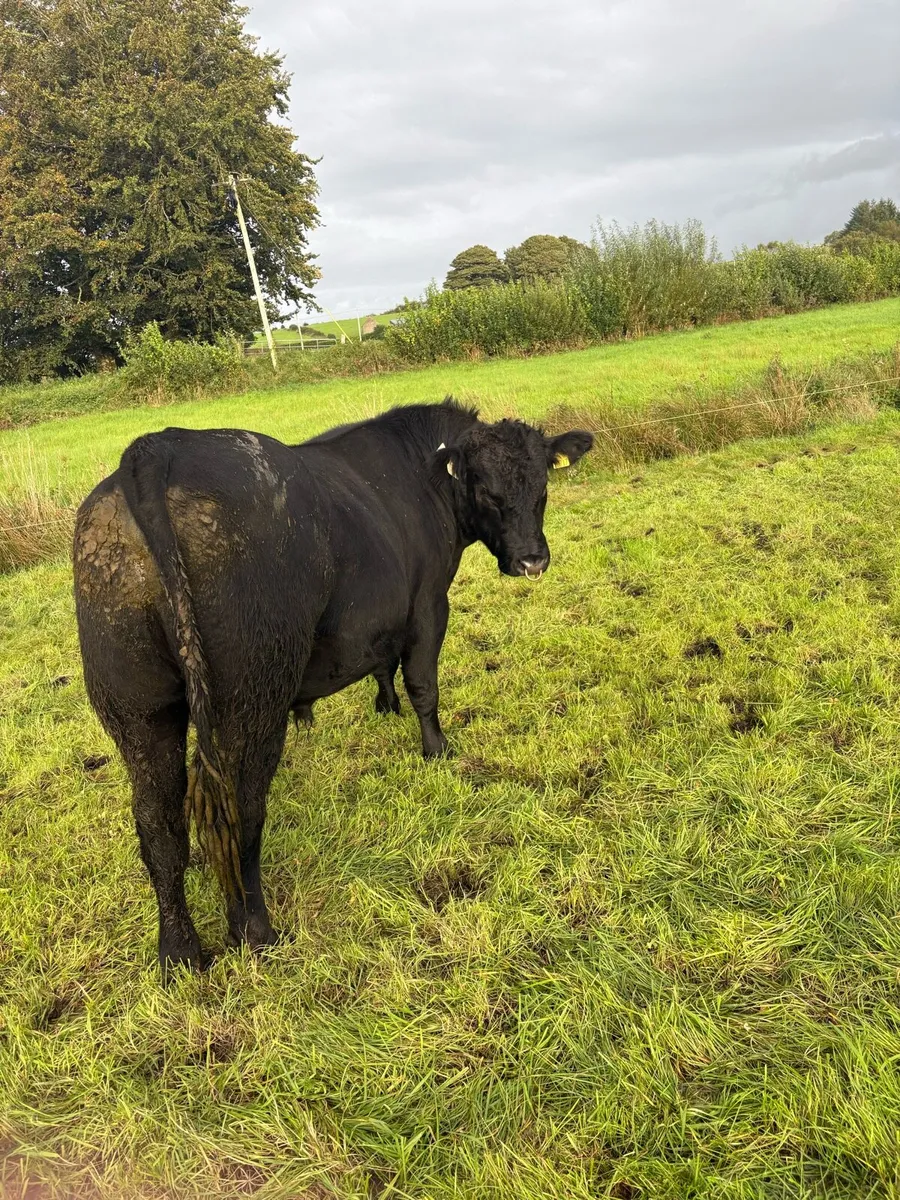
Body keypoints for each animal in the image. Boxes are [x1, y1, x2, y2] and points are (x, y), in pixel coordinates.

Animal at [73, 399, 593, 978]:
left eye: (542, 485)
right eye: (487, 489)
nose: (532, 560)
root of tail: (159, 448)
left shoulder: (380, 618)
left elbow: (382, 662)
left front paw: (385, 706)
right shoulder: (428, 603)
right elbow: (423, 684)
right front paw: (436, 749)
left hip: (139, 710)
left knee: (158, 824)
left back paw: (180, 953)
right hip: (251, 699)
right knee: (242, 810)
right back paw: (256, 932)